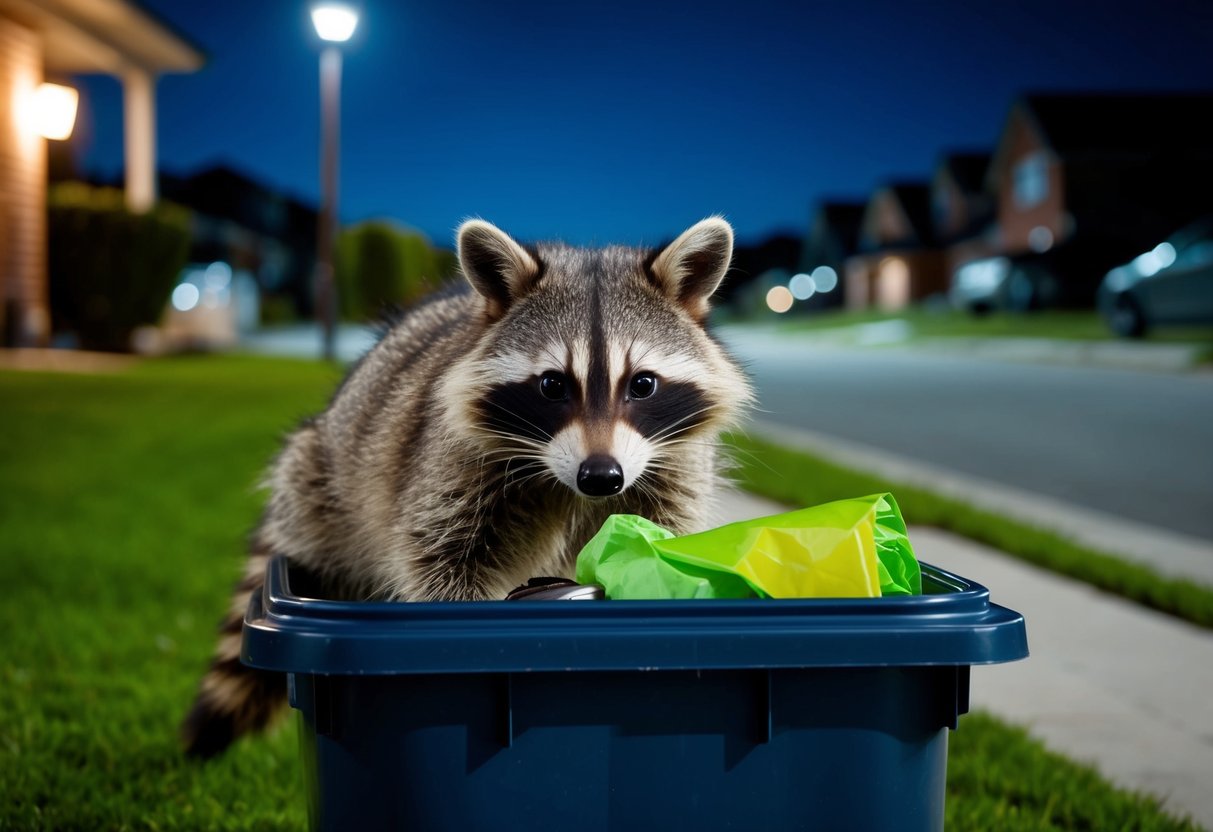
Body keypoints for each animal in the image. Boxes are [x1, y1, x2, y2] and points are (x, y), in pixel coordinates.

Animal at [182, 217, 753, 758]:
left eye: (643, 384)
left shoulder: (672, 465)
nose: (601, 476)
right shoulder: (451, 465)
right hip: (322, 486)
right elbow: (439, 558)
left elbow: (663, 534)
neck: (568, 481)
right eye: (552, 385)